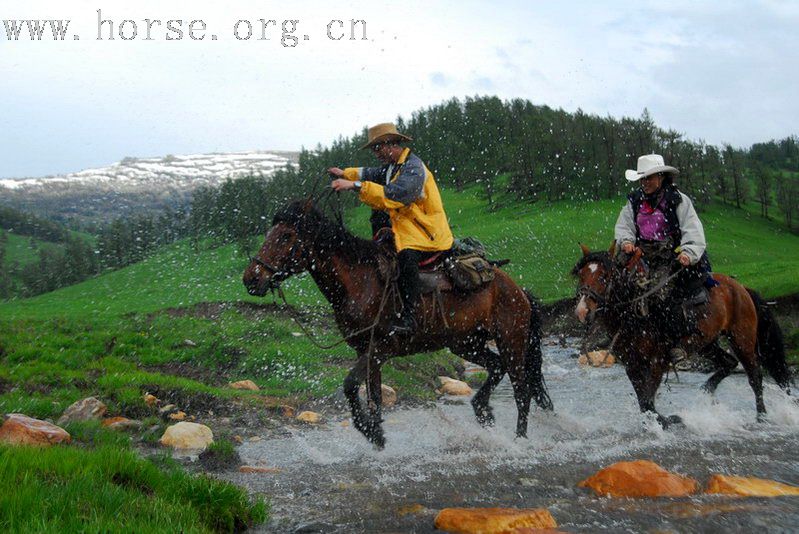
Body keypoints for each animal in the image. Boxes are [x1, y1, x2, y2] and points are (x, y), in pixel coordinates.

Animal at [244, 201, 552, 448]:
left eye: (286, 236)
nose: (251, 278)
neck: (360, 282)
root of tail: (517, 290)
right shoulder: (367, 353)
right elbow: (376, 398)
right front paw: (378, 437)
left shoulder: (380, 347)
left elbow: (350, 385)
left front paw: (370, 432)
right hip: (466, 344)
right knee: (496, 366)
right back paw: (482, 411)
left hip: (511, 340)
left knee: (521, 390)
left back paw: (519, 439)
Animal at [572, 245, 792, 430]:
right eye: (581, 276)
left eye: (604, 276)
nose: (582, 311)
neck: (634, 313)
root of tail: (742, 288)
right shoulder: (632, 364)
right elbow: (643, 400)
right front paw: (663, 420)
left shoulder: (658, 360)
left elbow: (648, 399)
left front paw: (668, 421)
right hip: (706, 343)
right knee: (729, 362)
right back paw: (707, 391)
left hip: (742, 340)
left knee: (754, 375)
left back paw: (761, 417)